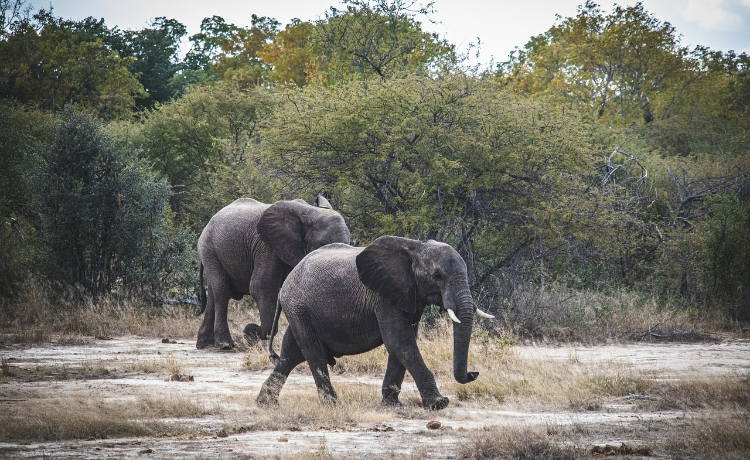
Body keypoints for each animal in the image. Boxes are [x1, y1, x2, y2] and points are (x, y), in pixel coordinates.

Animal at [198, 194, 354, 348]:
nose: (248, 331)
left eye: (350, 243)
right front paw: (251, 331)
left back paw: (204, 344)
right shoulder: (267, 247)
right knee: (222, 290)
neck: (311, 211)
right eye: (322, 243)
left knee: (213, 293)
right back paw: (225, 344)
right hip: (209, 249)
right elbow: (260, 285)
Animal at [256, 237, 496, 410]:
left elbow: (402, 343)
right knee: (312, 351)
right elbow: (399, 341)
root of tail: (284, 287)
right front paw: (439, 404)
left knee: (291, 353)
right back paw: (332, 405)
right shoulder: (383, 296)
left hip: (299, 310)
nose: (473, 373)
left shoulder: (408, 295)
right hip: (298, 306)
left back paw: (265, 404)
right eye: (437, 276)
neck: (415, 248)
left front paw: (393, 405)